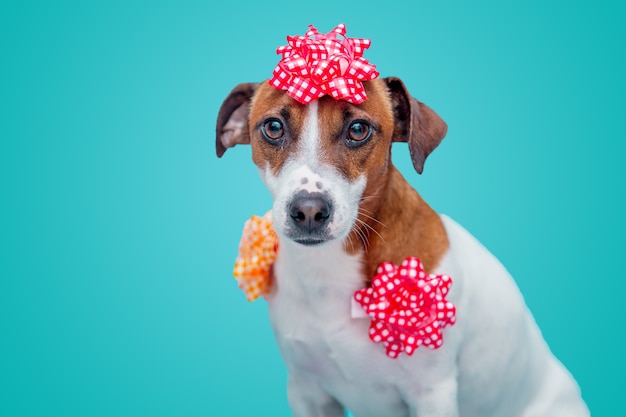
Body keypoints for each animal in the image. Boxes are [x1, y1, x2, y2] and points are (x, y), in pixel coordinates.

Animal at [213, 75, 584, 416]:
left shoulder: (432, 394)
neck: (330, 268)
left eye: (358, 129)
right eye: (273, 127)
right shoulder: (308, 392)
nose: (309, 211)